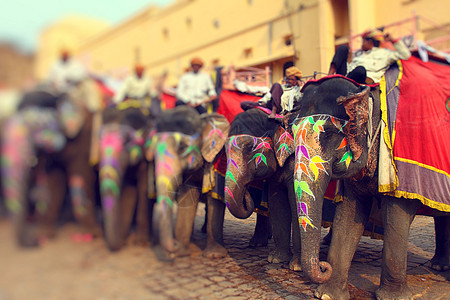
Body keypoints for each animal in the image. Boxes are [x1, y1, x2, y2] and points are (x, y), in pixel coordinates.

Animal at [0, 81, 101, 246]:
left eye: (36, 125)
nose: (34, 242)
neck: (59, 93)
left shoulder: (84, 138)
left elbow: (81, 176)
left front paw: (88, 235)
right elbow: (53, 181)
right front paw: (44, 235)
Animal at [98, 102, 155, 252]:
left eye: (126, 142)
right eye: (98, 142)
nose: (120, 245)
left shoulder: (146, 160)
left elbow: (143, 190)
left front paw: (141, 244)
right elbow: (128, 191)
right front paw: (124, 240)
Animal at [147, 105, 232, 258]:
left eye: (182, 147)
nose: (174, 243)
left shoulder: (219, 159)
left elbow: (215, 197)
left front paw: (214, 255)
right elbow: (187, 195)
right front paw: (181, 251)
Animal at [288, 61, 450, 300]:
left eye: (328, 135)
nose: (324, 266)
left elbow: (397, 213)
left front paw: (393, 298)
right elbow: (349, 213)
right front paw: (327, 295)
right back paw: (439, 265)